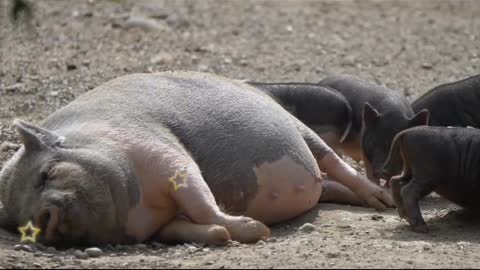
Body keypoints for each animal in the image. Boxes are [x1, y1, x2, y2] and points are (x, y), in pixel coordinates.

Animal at [0, 70, 394, 246]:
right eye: (17, 220)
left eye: (47, 172)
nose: (39, 220)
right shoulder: (158, 226)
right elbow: (191, 225)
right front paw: (226, 234)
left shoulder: (165, 153)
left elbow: (201, 199)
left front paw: (257, 230)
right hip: (316, 177)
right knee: (327, 184)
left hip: (299, 130)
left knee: (332, 163)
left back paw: (382, 200)